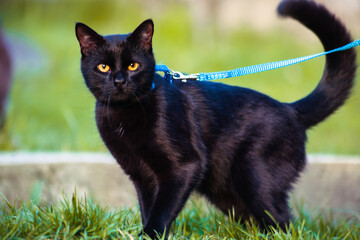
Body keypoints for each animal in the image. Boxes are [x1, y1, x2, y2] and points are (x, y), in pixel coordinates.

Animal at [75, 0, 358, 238]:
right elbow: (148, 208)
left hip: (255, 176)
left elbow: (161, 211)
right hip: (226, 189)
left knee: (284, 223)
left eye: (133, 66)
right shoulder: (141, 175)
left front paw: (150, 235)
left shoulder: (185, 166)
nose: (119, 81)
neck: (124, 116)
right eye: (103, 67)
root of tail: (290, 109)